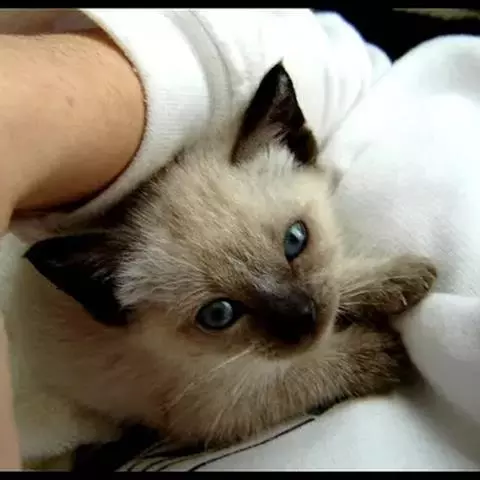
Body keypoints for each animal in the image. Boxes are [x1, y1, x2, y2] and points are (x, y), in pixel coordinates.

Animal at [0, 62, 436, 468]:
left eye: (295, 241)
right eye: (219, 314)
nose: (303, 320)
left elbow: (340, 279)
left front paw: (400, 278)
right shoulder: (219, 408)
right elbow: (307, 373)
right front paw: (382, 353)